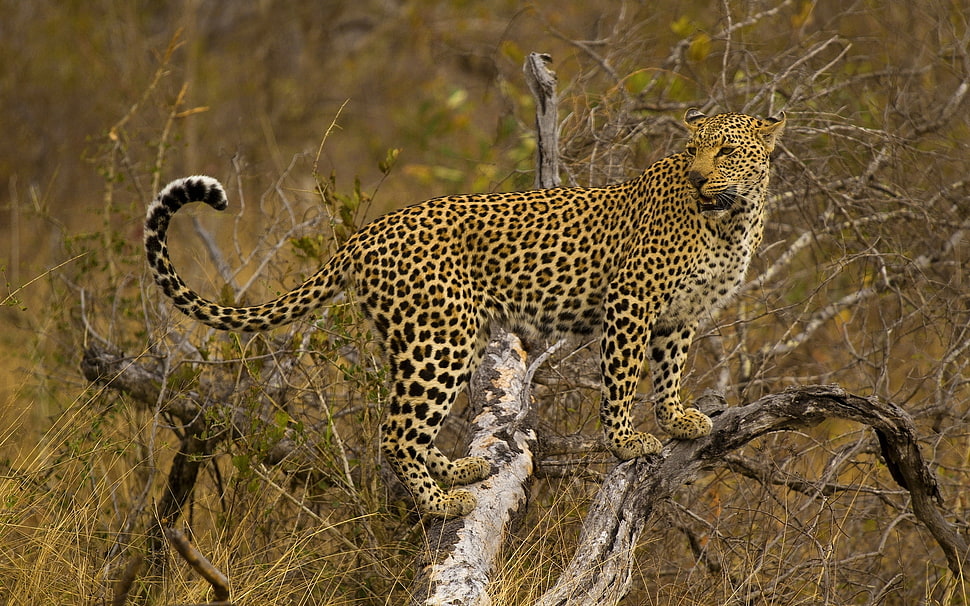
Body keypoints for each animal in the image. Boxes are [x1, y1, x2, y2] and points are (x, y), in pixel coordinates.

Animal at [144, 108, 786, 519]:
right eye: (693, 151)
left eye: (725, 151)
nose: (699, 177)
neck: (733, 217)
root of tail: (366, 234)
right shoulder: (632, 300)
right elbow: (624, 378)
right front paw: (628, 443)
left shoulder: (680, 313)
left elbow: (669, 369)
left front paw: (678, 419)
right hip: (441, 340)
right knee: (395, 432)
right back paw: (440, 502)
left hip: (431, 338)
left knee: (411, 425)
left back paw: (457, 474)